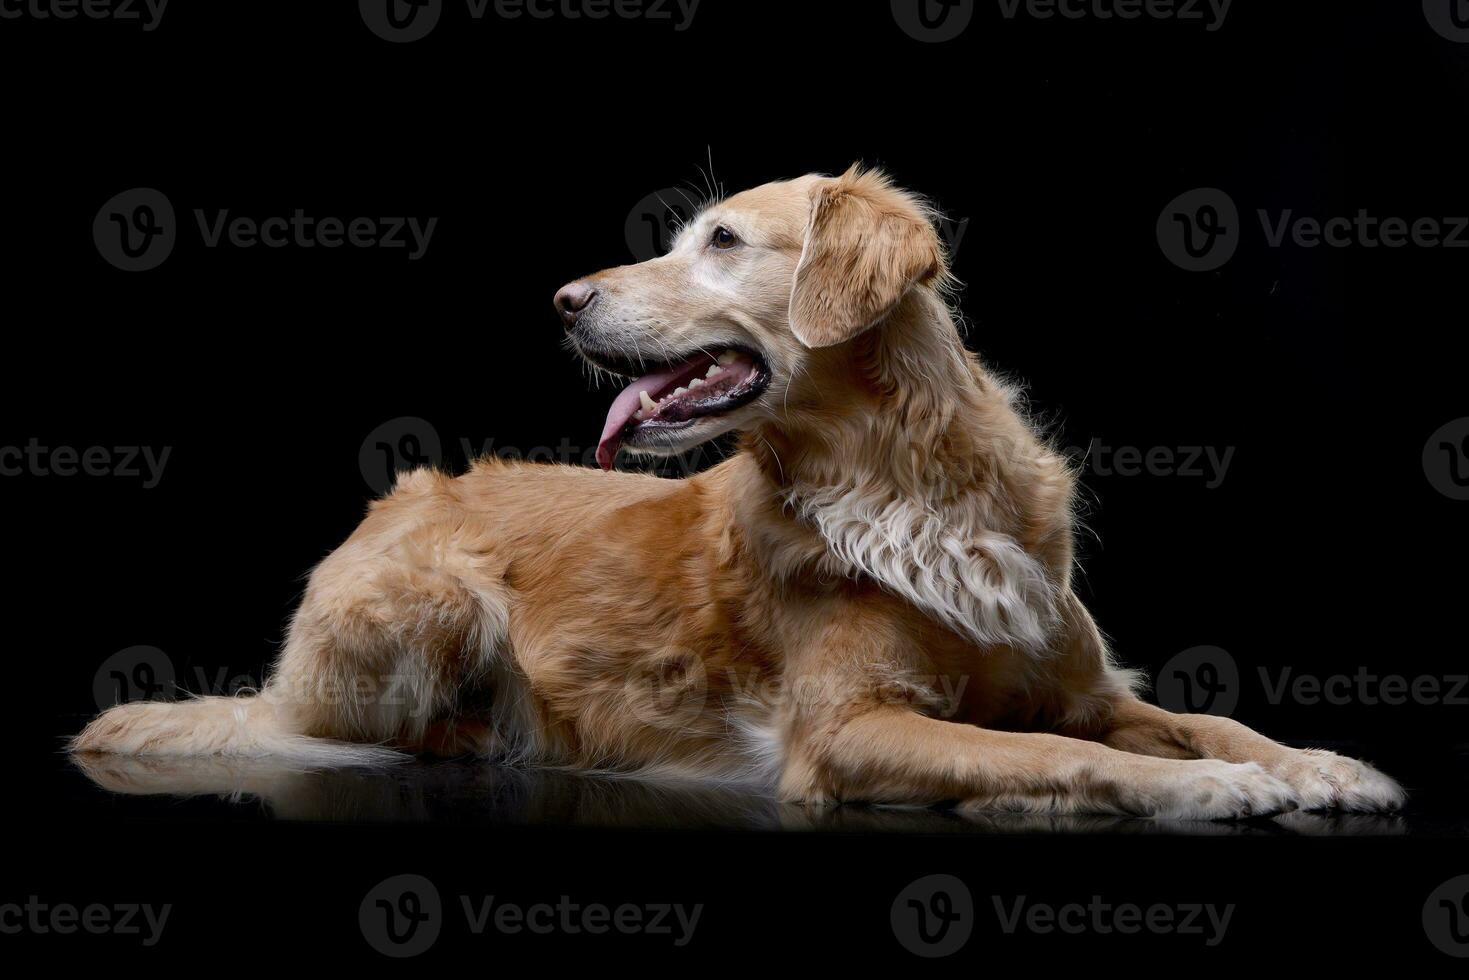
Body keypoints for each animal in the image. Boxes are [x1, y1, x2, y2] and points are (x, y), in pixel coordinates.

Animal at [74, 168, 1404, 822]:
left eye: (719, 241)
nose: (561, 298)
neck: (901, 475)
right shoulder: (844, 729)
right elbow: (1063, 753)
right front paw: (1204, 791)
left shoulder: (1084, 683)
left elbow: (1193, 718)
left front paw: (1317, 764)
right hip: (429, 599)